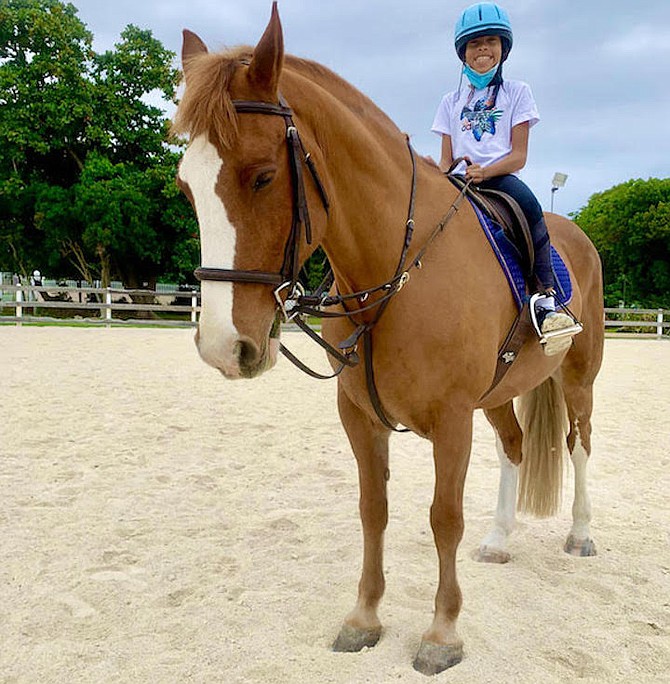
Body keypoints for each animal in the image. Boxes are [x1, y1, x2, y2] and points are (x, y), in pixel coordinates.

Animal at [171, 4, 608, 680]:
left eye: (263, 177)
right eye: (185, 188)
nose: (225, 347)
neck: (396, 273)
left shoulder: (452, 420)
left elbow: (444, 518)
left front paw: (442, 632)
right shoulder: (359, 416)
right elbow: (371, 510)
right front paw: (364, 618)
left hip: (579, 376)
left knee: (579, 443)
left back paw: (581, 534)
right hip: (498, 394)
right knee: (513, 446)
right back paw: (499, 540)